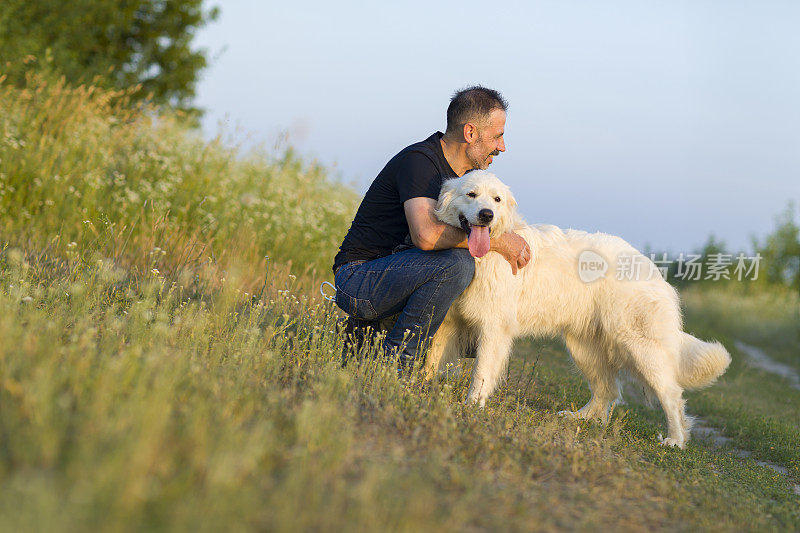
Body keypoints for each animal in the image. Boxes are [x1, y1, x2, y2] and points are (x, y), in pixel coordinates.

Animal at [428, 169, 728, 444]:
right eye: (471, 194)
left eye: (497, 199)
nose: (487, 214)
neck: (487, 252)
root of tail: (652, 267)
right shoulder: (447, 322)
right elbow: (431, 356)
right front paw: (421, 386)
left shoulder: (493, 327)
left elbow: (480, 373)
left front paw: (471, 407)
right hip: (584, 348)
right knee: (607, 390)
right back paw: (580, 418)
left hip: (642, 348)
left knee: (671, 395)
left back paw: (674, 441)